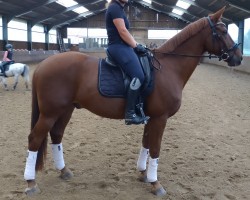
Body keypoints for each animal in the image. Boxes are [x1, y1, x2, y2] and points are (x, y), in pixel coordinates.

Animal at [23, 7, 242, 197]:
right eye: (223, 31)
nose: (238, 58)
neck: (168, 68)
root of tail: (43, 65)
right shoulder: (160, 118)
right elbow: (155, 148)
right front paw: (156, 184)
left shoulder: (151, 117)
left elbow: (146, 144)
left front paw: (144, 174)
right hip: (50, 112)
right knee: (34, 139)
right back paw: (31, 183)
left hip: (66, 110)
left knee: (56, 135)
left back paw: (64, 171)